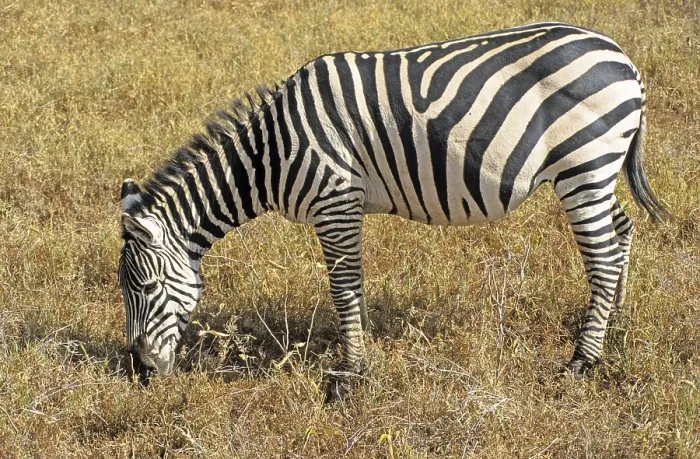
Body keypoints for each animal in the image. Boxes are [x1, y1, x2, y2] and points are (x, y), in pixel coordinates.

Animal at [118, 21, 668, 401]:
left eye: (145, 286)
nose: (139, 372)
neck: (268, 154)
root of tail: (622, 57)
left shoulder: (335, 201)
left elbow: (344, 289)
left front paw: (348, 377)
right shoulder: (344, 208)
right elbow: (353, 288)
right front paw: (360, 359)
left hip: (584, 162)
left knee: (602, 257)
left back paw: (582, 360)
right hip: (597, 168)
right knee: (620, 234)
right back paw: (613, 323)